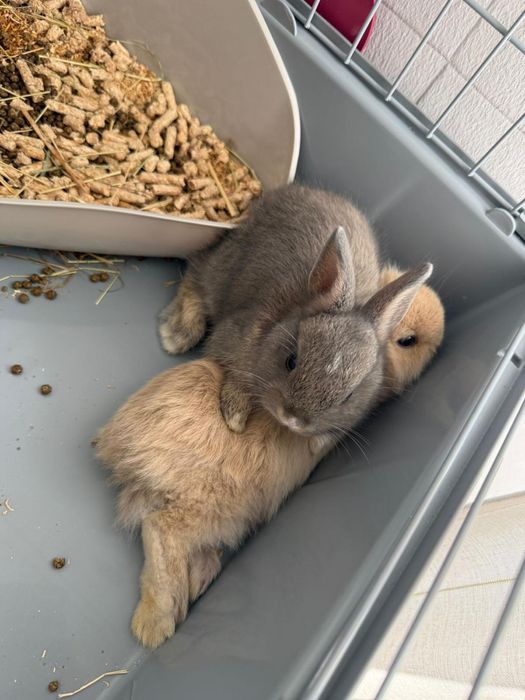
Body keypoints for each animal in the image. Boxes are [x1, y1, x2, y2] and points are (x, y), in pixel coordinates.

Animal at [94, 268, 443, 649]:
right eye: (408, 340)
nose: (440, 328)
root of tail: (114, 445)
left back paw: (193, 587)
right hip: (209, 505)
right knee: (158, 528)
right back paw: (154, 625)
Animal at [158, 183, 433, 439]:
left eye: (349, 396)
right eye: (291, 361)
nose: (293, 418)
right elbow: (238, 376)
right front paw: (235, 416)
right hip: (225, 266)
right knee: (197, 273)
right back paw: (176, 336)